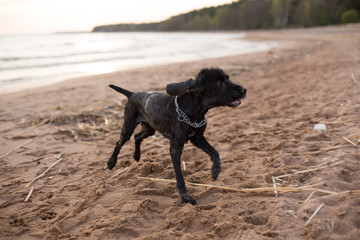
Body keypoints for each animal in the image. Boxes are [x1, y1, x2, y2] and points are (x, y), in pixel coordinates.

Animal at [107, 67, 248, 204]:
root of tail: (132, 94)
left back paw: (136, 156)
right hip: (128, 126)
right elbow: (179, 175)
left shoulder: (198, 139)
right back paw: (111, 163)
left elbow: (215, 152)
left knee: (137, 136)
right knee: (119, 143)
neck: (192, 112)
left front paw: (215, 170)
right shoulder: (175, 148)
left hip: (149, 129)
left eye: (227, 78)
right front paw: (185, 196)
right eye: (219, 82)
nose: (244, 89)